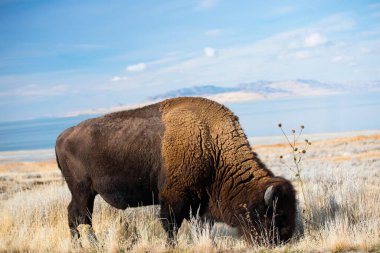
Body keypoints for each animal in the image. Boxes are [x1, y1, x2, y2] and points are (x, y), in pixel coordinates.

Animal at [55, 96, 296, 245]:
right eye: (275, 215)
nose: (285, 238)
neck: (211, 144)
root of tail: (62, 136)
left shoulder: (199, 203)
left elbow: (200, 226)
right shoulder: (174, 198)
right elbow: (171, 226)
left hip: (84, 193)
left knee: (74, 215)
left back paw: (79, 245)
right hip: (83, 191)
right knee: (81, 217)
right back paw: (91, 245)